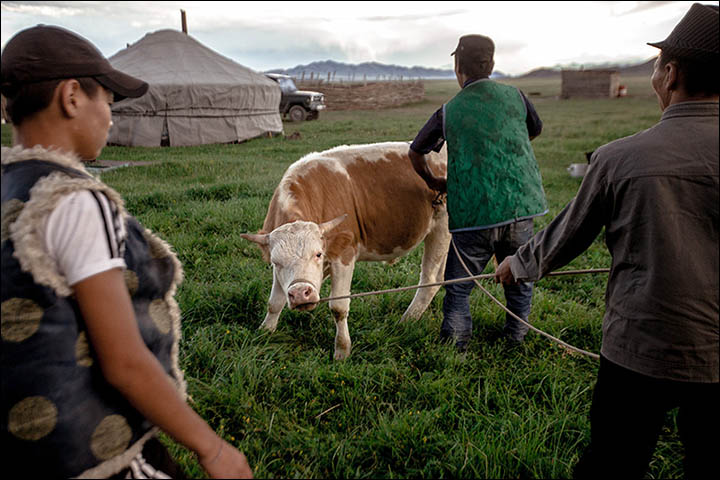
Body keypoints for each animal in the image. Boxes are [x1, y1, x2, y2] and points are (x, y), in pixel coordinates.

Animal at [239, 142, 448, 360]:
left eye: (318, 254)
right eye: (276, 262)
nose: (300, 294)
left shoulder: (344, 254)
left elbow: (338, 307)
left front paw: (342, 349)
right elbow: (275, 301)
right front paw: (265, 332)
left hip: (442, 228)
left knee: (430, 279)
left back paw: (405, 321)